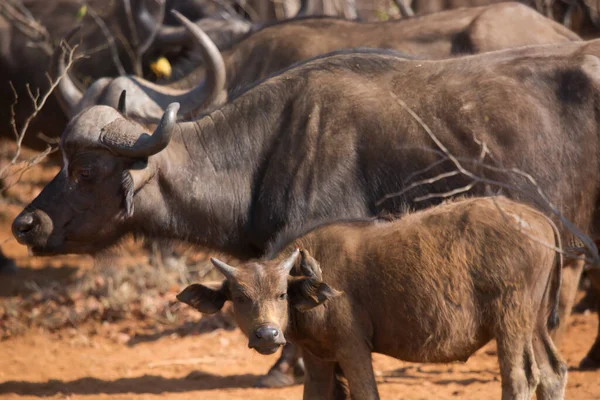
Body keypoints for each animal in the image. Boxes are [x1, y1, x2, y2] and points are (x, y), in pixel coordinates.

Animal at [178, 197, 568, 400]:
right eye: (239, 297)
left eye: (280, 293)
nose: (267, 335)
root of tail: (541, 220)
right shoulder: (317, 358)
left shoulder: (353, 349)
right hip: (533, 324)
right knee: (552, 373)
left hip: (511, 324)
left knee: (520, 379)